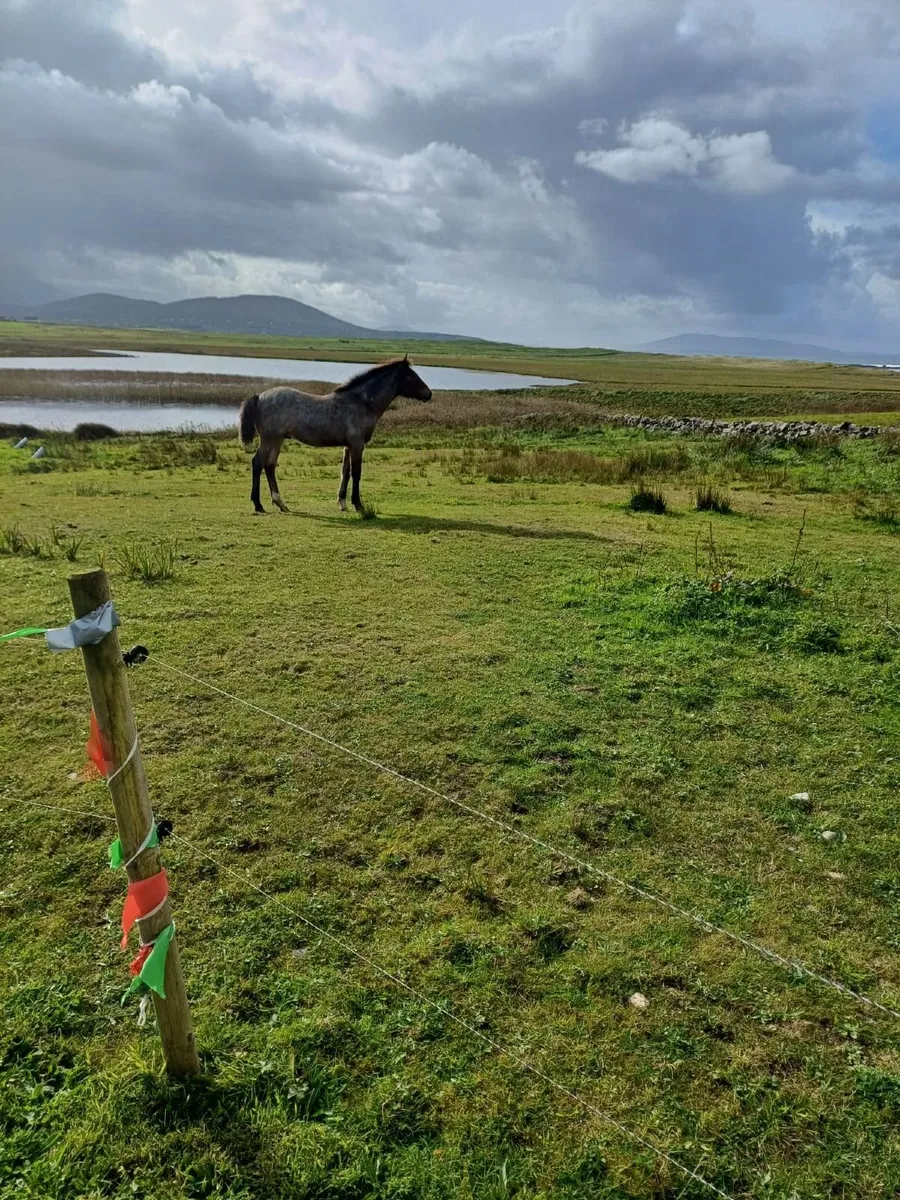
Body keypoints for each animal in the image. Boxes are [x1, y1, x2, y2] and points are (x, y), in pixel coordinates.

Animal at [237, 356, 432, 514]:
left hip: (277, 440)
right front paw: (358, 505)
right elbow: (356, 473)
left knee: (269, 466)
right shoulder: (357, 445)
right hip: (269, 439)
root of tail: (259, 396)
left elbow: (345, 472)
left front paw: (342, 503)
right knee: (258, 463)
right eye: (411, 376)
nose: (428, 394)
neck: (361, 403)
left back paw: (281, 504)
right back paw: (258, 505)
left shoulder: (348, 446)